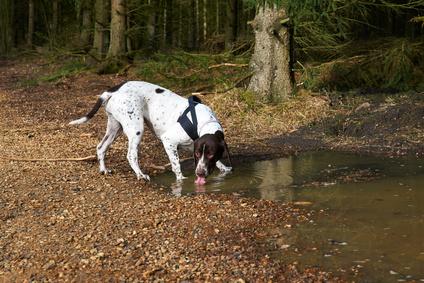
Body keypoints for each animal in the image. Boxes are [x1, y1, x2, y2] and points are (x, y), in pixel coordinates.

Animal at [69, 81, 232, 185]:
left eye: (211, 154)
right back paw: (140, 175)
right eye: (198, 153)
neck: (204, 122)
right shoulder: (169, 141)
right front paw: (181, 180)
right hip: (136, 129)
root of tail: (114, 90)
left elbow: (217, 162)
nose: (200, 174)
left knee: (101, 147)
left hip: (115, 128)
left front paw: (224, 169)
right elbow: (176, 165)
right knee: (131, 155)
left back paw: (103, 169)